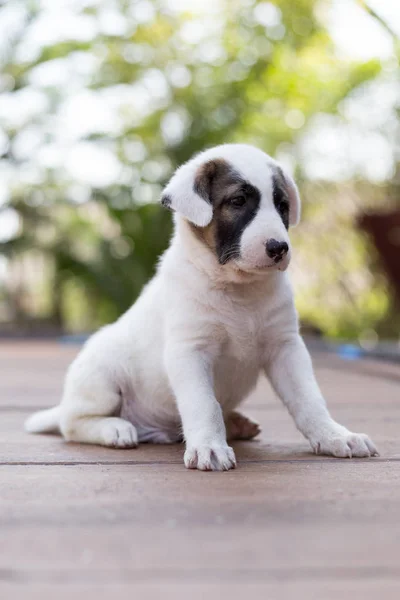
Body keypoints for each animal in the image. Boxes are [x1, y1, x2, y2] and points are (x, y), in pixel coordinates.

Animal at [25, 144, 378, 468]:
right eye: (237, 201)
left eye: (282, 205)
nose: (279, 248)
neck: (239, 289)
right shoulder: (190, 351)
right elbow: (203, 404)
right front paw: (210, 447)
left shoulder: (286, 347)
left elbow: (309, 399)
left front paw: (334, 436)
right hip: (100, 376)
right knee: (73, 423)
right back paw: (115, 428)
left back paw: (234, 423)